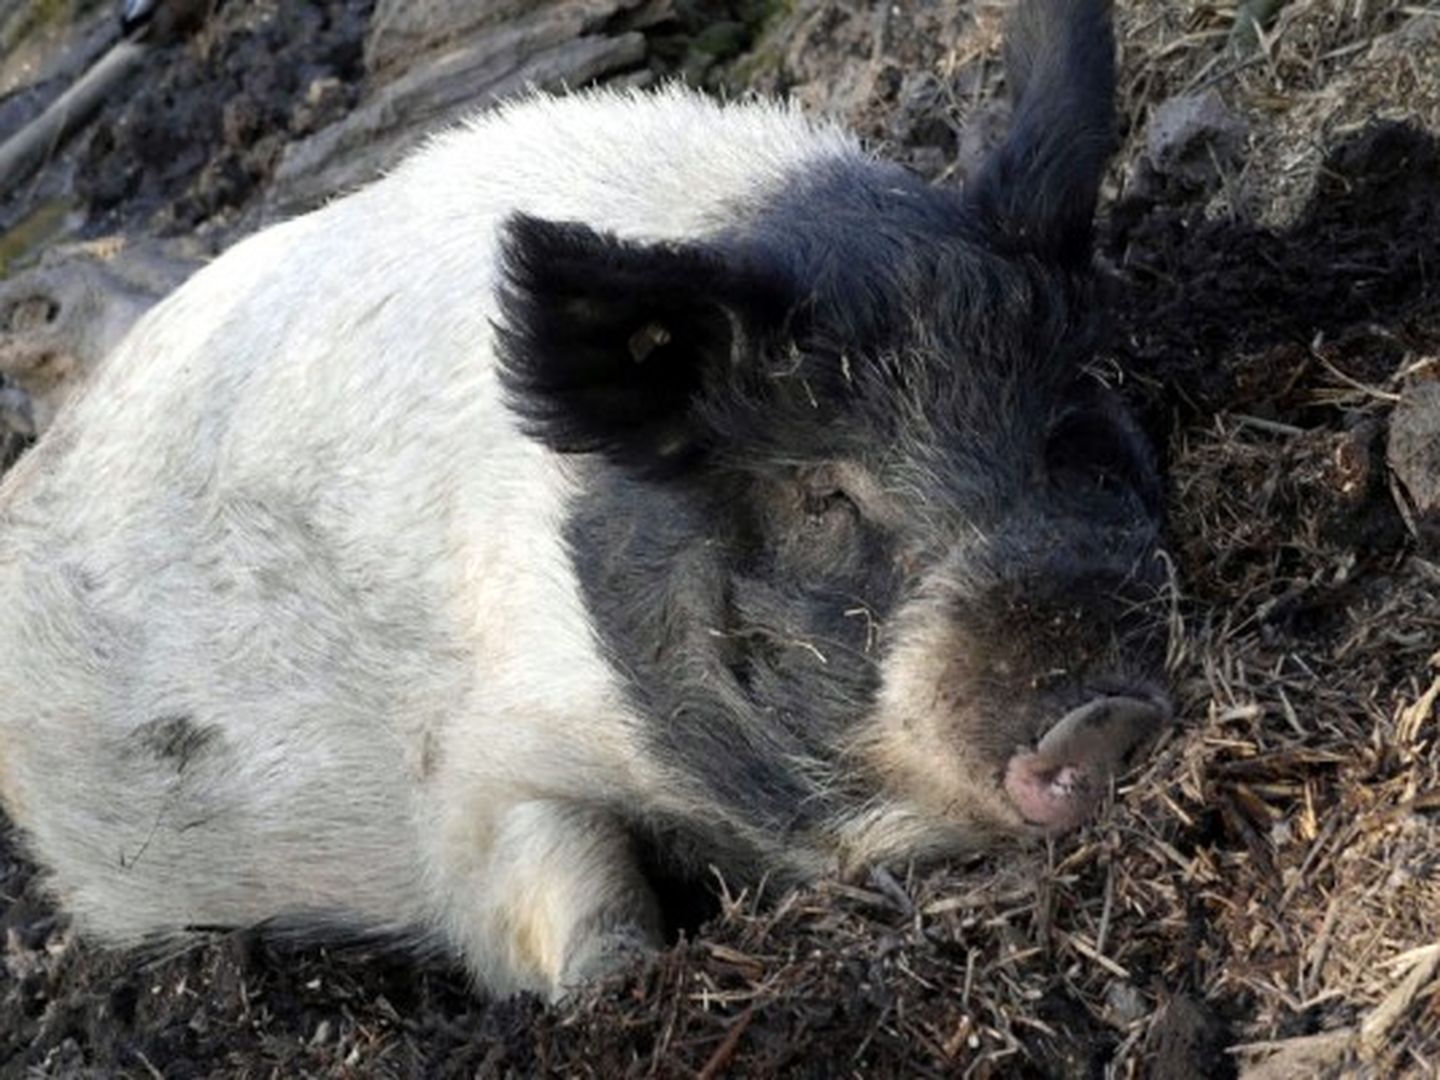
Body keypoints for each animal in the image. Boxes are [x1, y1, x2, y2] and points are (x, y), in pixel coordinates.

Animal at [0, 0, 1175, 1002]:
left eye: (1066, 428)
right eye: (822, 492)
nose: (1098, 716)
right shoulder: (472, 777)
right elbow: (560, 876)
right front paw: (615, 981)